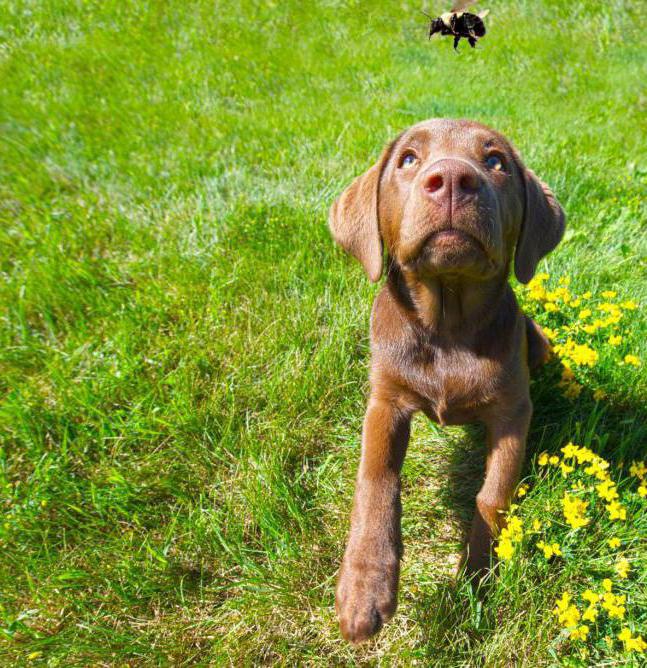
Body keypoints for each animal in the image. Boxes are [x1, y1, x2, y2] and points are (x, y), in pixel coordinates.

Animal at [332, 118, 564, 640]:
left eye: (496, 161)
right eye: (408, 159)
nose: (455, 179)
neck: (449, 328)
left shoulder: (513, 413)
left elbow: (492, 496)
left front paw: (476, 578)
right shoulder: (385, 401)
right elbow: (374, 478)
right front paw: (364, 586)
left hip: (538, 343)